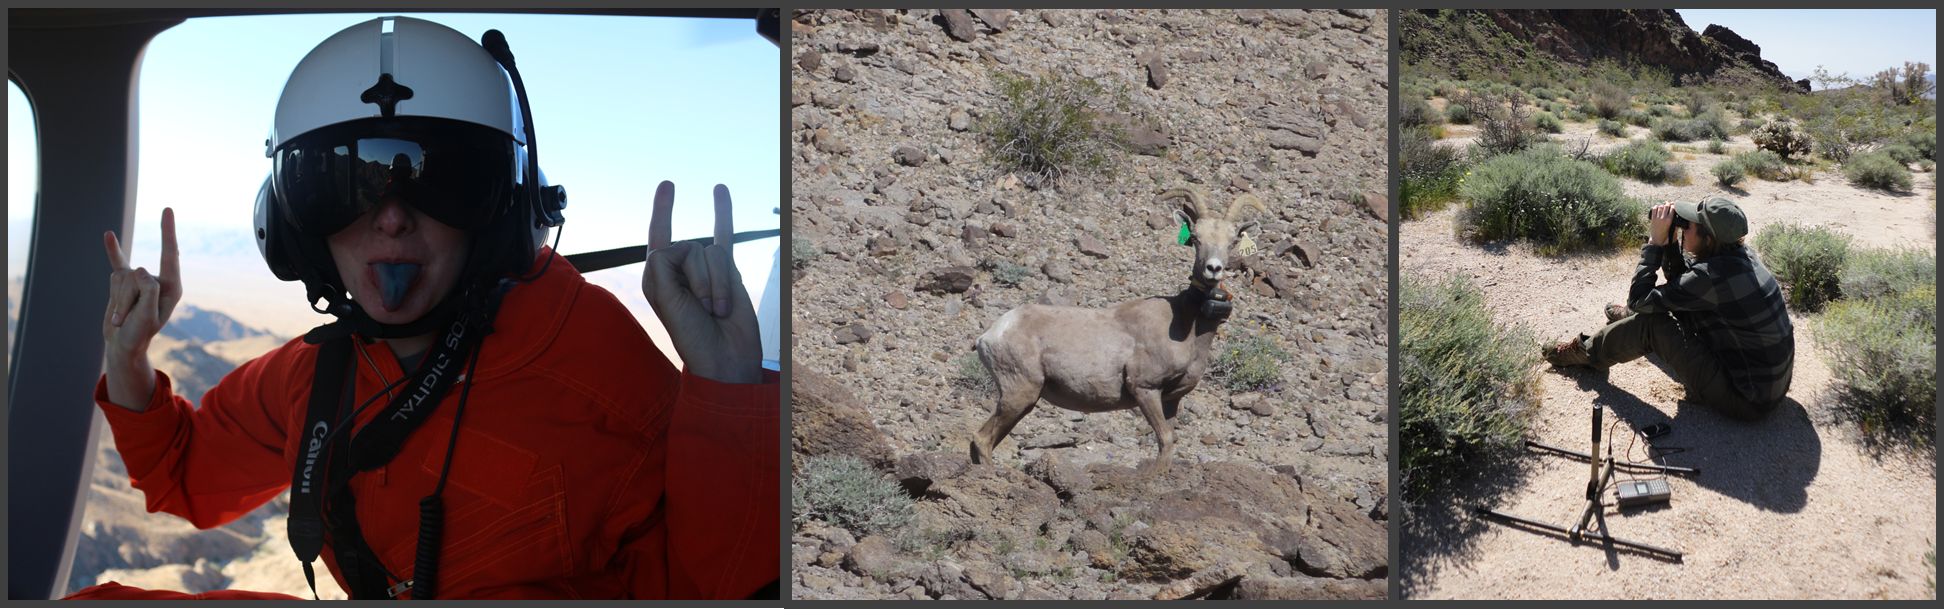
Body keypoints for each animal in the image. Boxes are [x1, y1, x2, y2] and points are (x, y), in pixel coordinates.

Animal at [972, 187, 1275, 472]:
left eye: (1232, 242)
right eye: (1196, 239)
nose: (1214, 268)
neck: (1185, 326)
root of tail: (990, 335)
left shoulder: (1171, 399)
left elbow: (1171, 439)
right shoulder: (1145, 389)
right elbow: (1165, 441)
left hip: (1023, 401)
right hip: (1019, 393)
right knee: (982, 439)